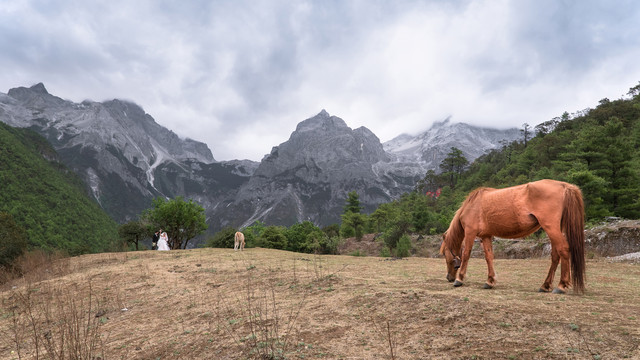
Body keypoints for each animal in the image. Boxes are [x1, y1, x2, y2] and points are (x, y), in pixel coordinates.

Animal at [440, 179, 584, 294]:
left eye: (445, 255)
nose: (449, 277)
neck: (472, 205)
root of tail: (563, 185)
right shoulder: (486, 236)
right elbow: (489, 257)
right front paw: (490, 281)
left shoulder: (470, 233)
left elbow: (466, 255)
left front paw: (459, 279)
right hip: (555, 229)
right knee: (555, 255)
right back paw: (545, 285)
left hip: (551, 227)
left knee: (563, 250)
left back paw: (561, 286)